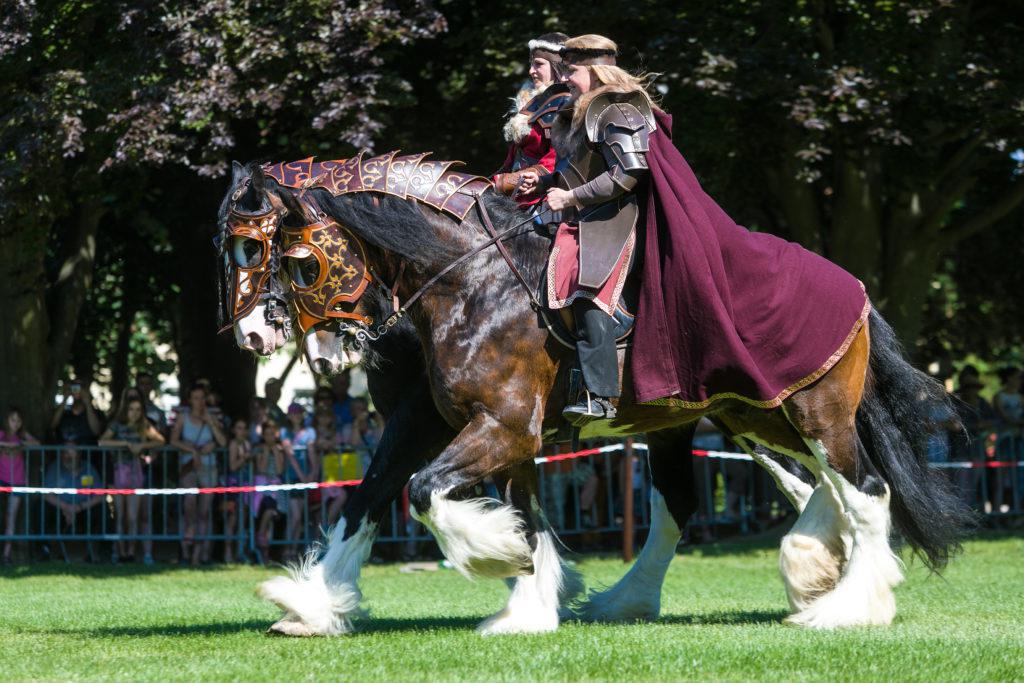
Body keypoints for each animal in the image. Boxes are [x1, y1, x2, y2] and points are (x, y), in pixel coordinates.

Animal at [220, 157, 970, 638]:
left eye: (292, 260)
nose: (255, 336)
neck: (468, 281)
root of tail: (855, 288)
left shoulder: (496, 428)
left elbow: (423, 493)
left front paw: (497, 559)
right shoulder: (480, 429)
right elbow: (402, 503)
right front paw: (525, 601)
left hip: (810, 409)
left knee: (864, 489)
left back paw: (847, 605)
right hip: (752, 413)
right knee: (777, 490)